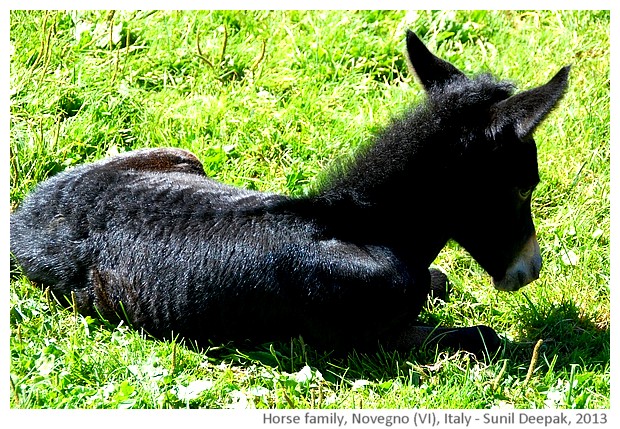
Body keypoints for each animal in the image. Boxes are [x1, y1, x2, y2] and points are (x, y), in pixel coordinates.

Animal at [10, 30, 572, 354]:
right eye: (524, 186)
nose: (530, 269)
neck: (368, 225)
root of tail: (24, 215)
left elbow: (442, 282)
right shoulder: (367, 338)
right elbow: (480, 337)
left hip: (182, 156)